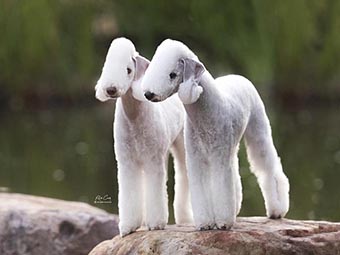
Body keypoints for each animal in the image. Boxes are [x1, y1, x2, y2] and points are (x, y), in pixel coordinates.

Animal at [94, 37, 193, 237]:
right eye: (106, 66)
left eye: (128, 70)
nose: (110, 89)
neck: (133, 117)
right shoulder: (127, 162)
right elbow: (130, 193)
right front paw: (128, 227)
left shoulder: (152, 161)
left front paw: (156, 224)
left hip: (179, 143)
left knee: (183, 173)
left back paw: (185, 219)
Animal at [141, 38, 290, 231]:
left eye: (172, 74)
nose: (148, 94)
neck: (205, 112)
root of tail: (239, 76)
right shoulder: (196, 159)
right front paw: (205, 223)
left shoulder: (219, 158)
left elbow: (222, 188)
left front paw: (223, 223)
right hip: (231, 146)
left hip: (258, 130)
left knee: (268, 168)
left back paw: (276, 210)